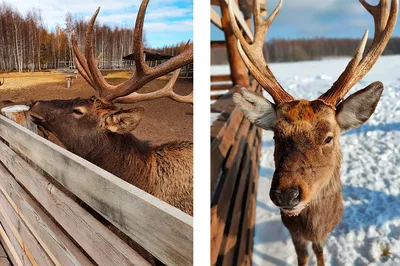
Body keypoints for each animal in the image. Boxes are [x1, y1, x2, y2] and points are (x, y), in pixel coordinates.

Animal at [228, 0, 396, 264]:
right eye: (276, 135)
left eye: (328, 137)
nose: (286, 195)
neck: (313, 227)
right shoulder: (292, 229)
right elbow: (302, 256)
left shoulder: (325, 232)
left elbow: (319, 252)